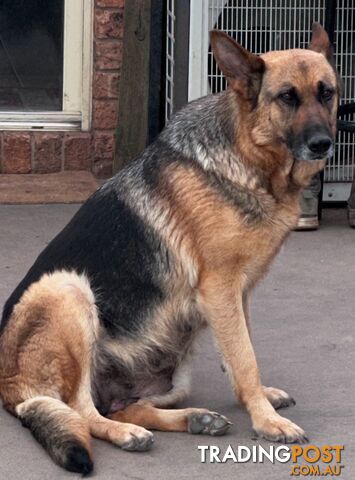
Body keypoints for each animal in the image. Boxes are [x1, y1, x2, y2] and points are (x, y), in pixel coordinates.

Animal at [0, 24, 342, 474]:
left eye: (327, 93)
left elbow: (243, 350)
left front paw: (260, 400)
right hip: (67, 289)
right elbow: (244, 358)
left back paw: (193, 419)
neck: (248, 155)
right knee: (83, 412)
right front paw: (267, 420)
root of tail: (10, 387)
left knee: (124, 405)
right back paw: (125, 433)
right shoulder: (220, 290)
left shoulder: (240, 294)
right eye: (287, 97)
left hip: (174, 368)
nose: (323, 144)